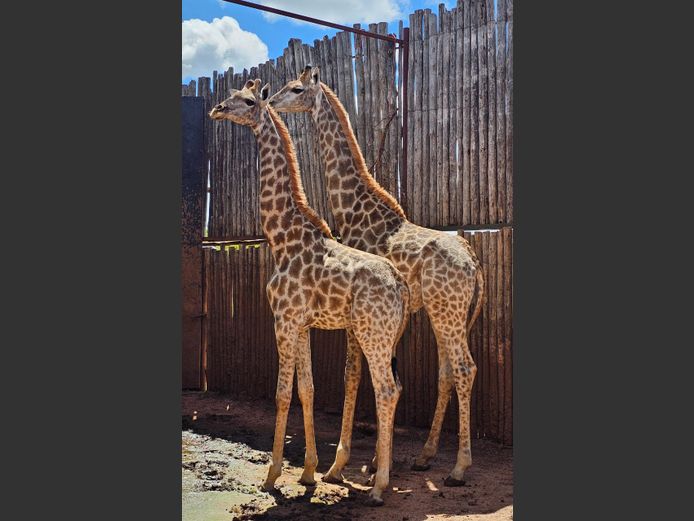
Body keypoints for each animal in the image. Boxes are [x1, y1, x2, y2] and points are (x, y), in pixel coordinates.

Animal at [208, 79, 410, 506]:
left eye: (246, 101)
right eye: (230, 96)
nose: (217, 109)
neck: (281, 238)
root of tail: (400, 284)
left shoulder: (283, 319)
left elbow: (282, 393)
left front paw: (271, 476)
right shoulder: (302, 324)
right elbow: (308, 390)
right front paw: (307, 473)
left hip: (372, 334)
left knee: (385, 389)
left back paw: (378, 487)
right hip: (387, 335)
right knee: (392, 387)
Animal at [269, 66, 485, 487]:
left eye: (296, 89)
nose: (271, 101)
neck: (352, 208)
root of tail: (472, 259)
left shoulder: (364, 315)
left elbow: (355, 374)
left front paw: (342, 465)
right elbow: (384, 379)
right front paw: (374, 464)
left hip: (446, 312)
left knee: (465, 369)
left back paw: (459, 467)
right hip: (444, 312)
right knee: (448, 372)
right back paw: (425, 456)